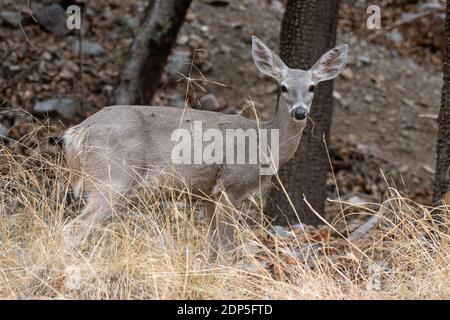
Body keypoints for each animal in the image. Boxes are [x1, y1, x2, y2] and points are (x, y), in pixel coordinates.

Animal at [61, 35, 348, 252]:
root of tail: (78, 132)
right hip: (113, 177)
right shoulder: (231, 186)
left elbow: (211, 248)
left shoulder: (207, 194)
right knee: (73, 228)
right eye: (283, 87)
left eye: (312, 87)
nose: (300, 112)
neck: (266, 142)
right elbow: (227, 249)